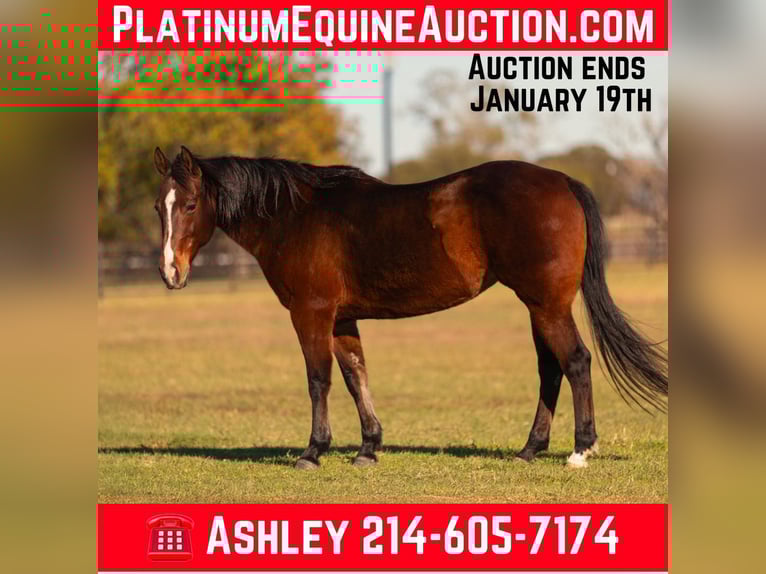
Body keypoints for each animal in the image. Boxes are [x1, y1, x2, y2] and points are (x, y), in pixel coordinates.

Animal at [152, 146, 667, 470]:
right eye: (160, 207)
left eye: (191, 204)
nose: (170, 272)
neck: (296, 216)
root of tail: (560, 180)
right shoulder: (342, 317)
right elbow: (356, 376)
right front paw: (367, 448)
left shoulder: (311, 312)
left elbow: (319, 380)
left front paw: (313, 451)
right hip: (538, 305)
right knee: (551, 368)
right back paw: (529, 449)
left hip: (547, 304)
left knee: (575, 361)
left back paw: (581, 450)